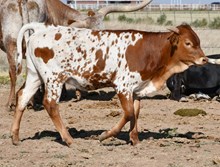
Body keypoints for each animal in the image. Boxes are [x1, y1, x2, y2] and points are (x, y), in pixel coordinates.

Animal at [11, 22, 207, 146]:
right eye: (188, 43)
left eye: (198, 41)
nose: (204, 59)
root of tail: (41, 29)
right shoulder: (123, 87)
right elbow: (128, 113)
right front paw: (105, 135)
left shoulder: (136, 89)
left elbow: (135, 113)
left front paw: (135, 139)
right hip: (54, 78)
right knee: (50, 104)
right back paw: (68, 139)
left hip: (35, 75)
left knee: (22, 97)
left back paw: (15, 137)